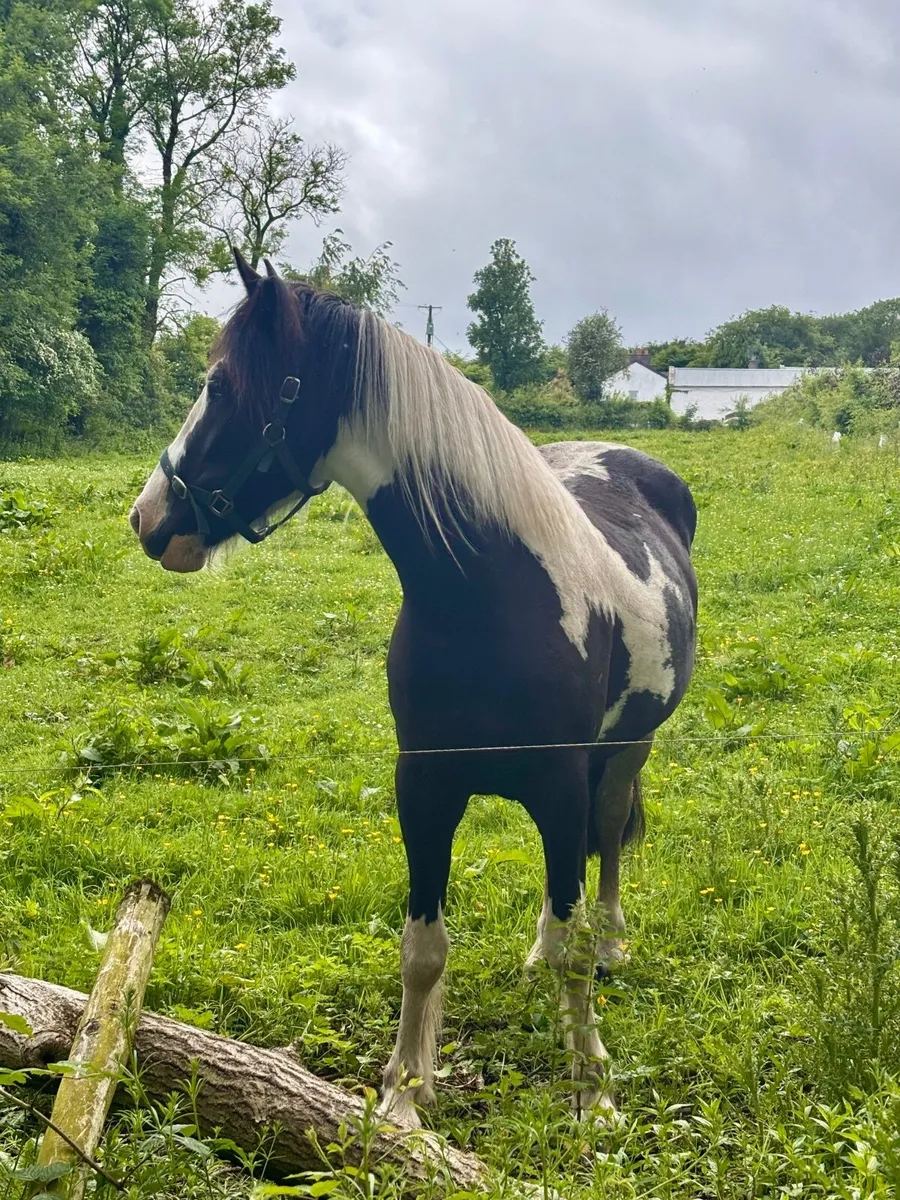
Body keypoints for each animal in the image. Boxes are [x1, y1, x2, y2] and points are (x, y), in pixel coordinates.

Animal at [130, 252, 698, 1125]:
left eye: (220, 387)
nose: (148, 516)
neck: (489, 598)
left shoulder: (559, 784)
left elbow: (573, 938)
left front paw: (593, 1090)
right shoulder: (424, 787)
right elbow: (423, 948)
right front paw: (405, 1093)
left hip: (626, 751)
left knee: (601, 848)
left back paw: (609, 941)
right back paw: (538, 948)